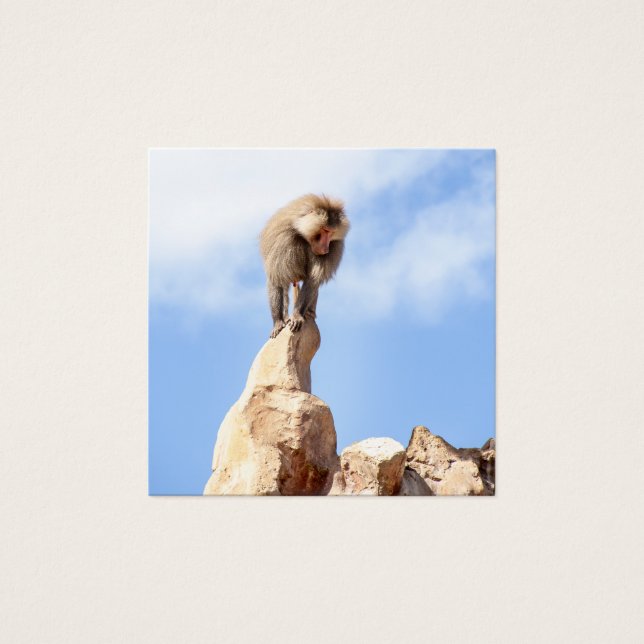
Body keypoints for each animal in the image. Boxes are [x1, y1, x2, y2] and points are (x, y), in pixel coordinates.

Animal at [259, 194, 350, 338]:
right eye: (325, 230)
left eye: (331, 233)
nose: (326, 249)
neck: (303, 233)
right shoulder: (282, 240)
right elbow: (276, 278)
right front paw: (278, 323)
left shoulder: (334, 246)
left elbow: (312, 280)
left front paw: (297, 316)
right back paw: (285, 318)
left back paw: (309, 313)